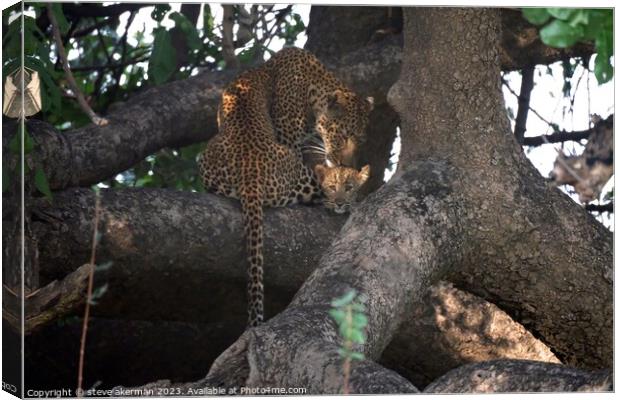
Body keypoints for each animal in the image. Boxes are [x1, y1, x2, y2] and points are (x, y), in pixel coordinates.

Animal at [199, 47, 372, 328]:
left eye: (360, 139)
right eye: (344, 135)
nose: (346, 163)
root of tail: (250, 172)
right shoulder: (290, 136)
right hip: (300, 175)